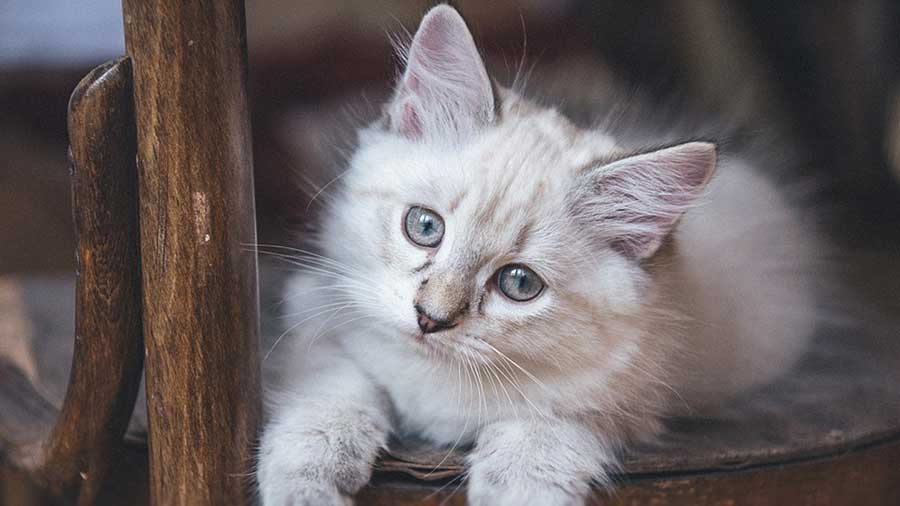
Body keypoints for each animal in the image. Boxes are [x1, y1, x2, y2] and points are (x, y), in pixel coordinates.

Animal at [255, 4, 824, 506]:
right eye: (424, 228)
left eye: (519, 284)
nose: (429, 319)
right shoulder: (317, 318)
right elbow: (329, 401)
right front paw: (307, 486)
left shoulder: (618, 398)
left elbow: (541, 439)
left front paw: (516, 486)